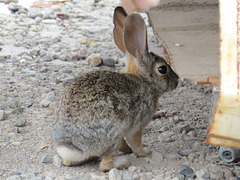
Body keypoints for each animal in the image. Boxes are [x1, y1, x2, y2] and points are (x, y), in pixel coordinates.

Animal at [52, 5, 178, 172]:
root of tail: (70, 145)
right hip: (113, 132)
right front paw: (144, 152)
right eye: (162, 69)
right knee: (105, 165)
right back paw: (123, 162)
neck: (144, 81)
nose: (176, 81)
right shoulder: (138, 125)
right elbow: (136, 141)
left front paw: (128, 150)